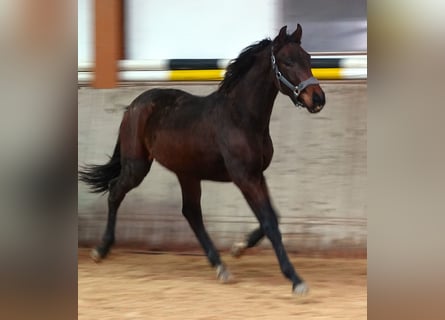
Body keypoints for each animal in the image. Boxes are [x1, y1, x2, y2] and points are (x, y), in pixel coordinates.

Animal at [78, 25, 324, 296]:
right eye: (288, 61)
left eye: (308, 59)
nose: (317, 99)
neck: (241, 117)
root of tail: (133, 106)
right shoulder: (244, 177)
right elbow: (269, 221)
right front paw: (295, 279)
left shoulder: (257, 174)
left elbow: (273, 216)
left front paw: (238, 247)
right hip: (138, 166)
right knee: (115, 193)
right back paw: (101, 250)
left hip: (187, 173)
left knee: (191, 213)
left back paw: (220, 266)